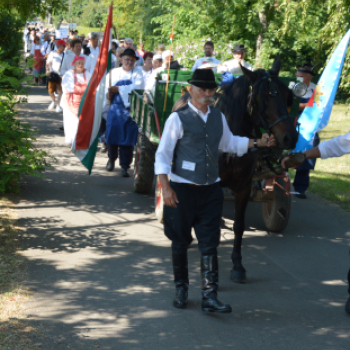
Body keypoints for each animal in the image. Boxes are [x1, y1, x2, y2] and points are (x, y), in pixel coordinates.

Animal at [171, 56, 296, 282]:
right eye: (263, 97)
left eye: (287, 96)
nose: (290, 137)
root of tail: (185, 95)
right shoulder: (214, 187)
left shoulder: (244, 186)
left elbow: (238, 226)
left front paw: (237, 266)